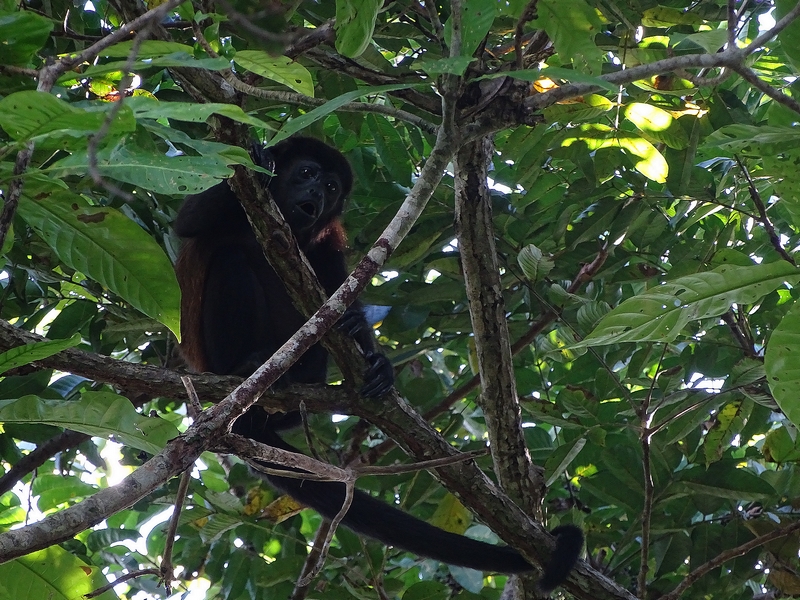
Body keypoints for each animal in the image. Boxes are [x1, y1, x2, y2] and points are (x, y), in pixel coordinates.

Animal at [174, 136, 583, 593]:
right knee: (230, 259)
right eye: (307, 173)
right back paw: (245, 366)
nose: (316, 195)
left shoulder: (329, 240)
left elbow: (338, 289)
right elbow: (188, 220)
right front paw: (261, 161)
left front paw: (374, 356)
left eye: (331, 188)